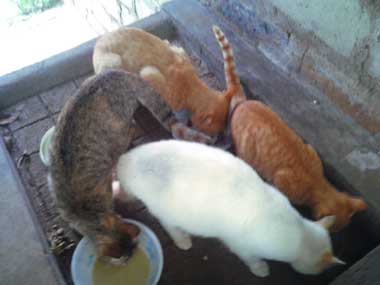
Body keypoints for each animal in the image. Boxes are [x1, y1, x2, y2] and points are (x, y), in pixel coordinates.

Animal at [116, 140, 344, 276]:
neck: (298, 233)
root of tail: (126, 161)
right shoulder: (242, 247)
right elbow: (253, 260)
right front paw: (261, 269)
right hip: (168, 212)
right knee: (169, 225)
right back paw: (183, 240)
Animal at [230, 96, 366, 230]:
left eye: (338, 230)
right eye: (332, 230)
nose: (329, 233)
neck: (316, 180)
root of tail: (242, 103)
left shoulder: (311, 149)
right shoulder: (280, 180)